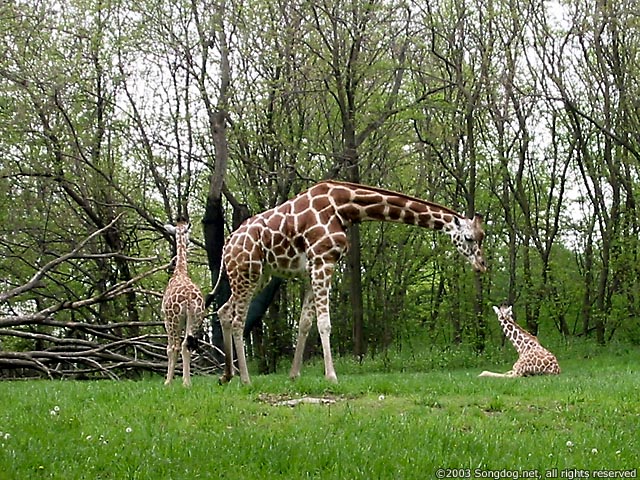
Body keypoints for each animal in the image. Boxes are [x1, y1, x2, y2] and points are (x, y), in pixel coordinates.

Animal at [162, 219, 205, 388]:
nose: (188, 241)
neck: (180, 271)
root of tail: (188, 299)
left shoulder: (166, 320)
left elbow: (169, 348)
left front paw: (168, 381)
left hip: (175, 320)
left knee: (175, 346)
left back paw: (173, 382)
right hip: (196, 318)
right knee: (186, 345)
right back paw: (187, 382)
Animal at [212, 180, 488, 386]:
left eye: (482, 237)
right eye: (469, 238)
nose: (482, 265)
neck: (345, 207)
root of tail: (227, 246)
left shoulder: (312, 268)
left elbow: (305, 324)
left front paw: (294, 375)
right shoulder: (323, 261)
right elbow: (324, 323)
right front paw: (332, 376)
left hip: (257, 276)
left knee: (224, 311)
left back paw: (227, 375)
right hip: (247, 272)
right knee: (238, 320)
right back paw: (245, 380)